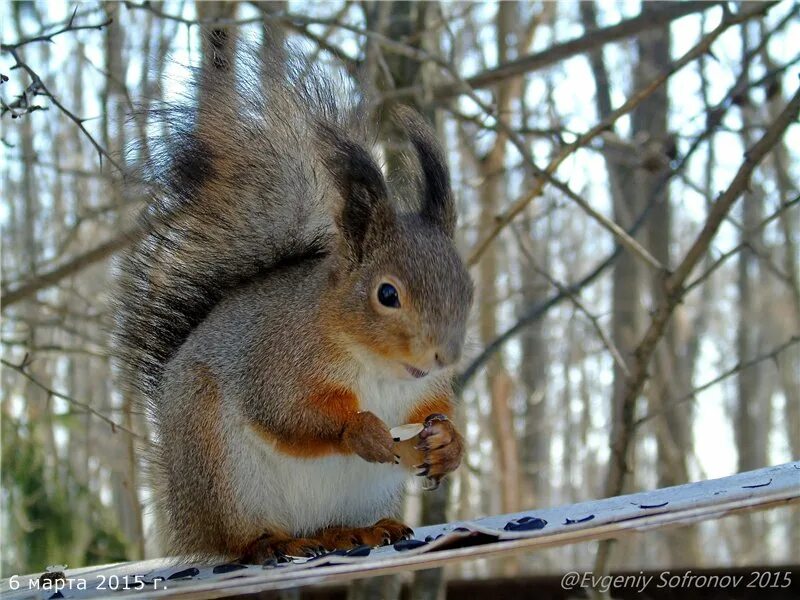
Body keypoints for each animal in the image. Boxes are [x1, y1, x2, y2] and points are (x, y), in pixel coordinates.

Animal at [114, 29, 476, 564]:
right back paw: (272, 542)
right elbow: (286, 414)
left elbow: (431, 417)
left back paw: (358, 531)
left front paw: (448, 443)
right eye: (387, 293)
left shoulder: (424, 392)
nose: (443, 356)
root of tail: (188, 521)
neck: (377, 368)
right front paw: (360, 430)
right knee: (239, 540)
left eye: (467, 289)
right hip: (220, 472)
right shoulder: (278, 362)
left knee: (334, 525)